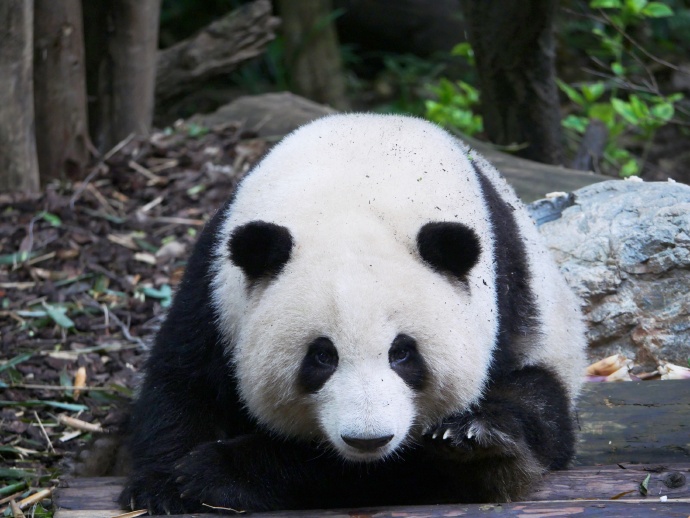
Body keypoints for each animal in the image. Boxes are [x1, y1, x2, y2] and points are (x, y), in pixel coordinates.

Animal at [119, 114, 586, 514]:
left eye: (402, 353)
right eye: (322, 356)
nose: (368, 439)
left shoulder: (498, 309)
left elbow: (394, 469)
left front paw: (214, 472)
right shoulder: (216, 283)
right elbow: (183, 379)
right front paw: (165, 485)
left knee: (540, 401)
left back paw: (479, 438)